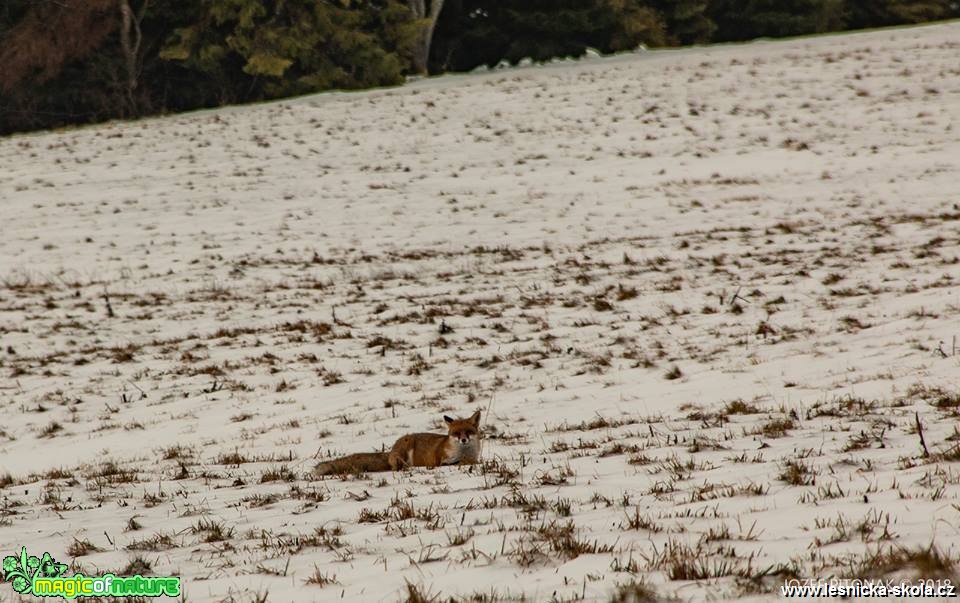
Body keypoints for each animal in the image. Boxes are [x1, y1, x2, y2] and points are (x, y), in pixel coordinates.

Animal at [314, 412, 480, 478]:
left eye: (468, 432)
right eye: (456, 433)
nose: (463, 440)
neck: (464, 453)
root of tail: (391, 450)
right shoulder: (441, 460)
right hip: (405, 448)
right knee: (396, 467)